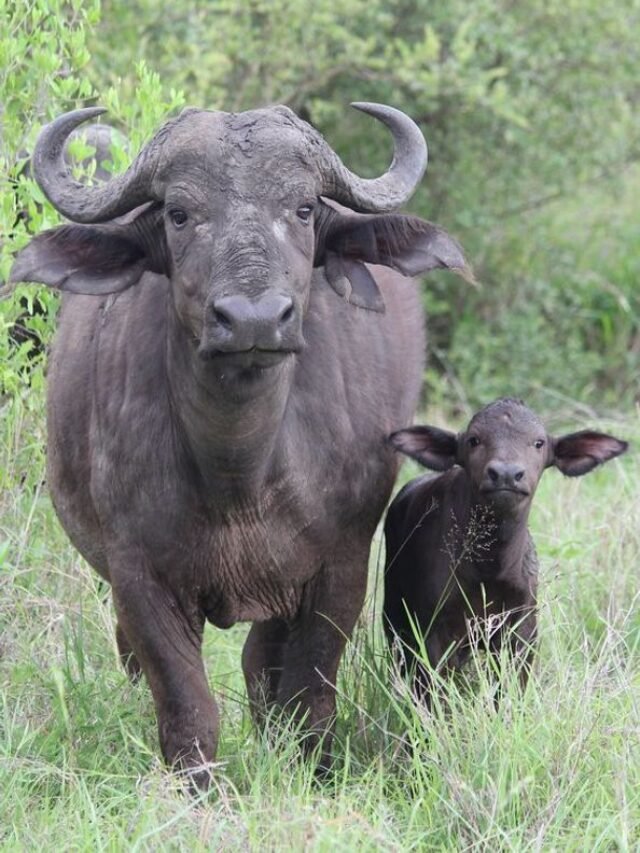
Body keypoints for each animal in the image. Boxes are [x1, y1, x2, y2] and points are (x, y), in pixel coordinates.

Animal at [12, 101, 468, 784]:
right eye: (179, 213)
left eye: (302, 208)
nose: (254, 320)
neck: (240, 473)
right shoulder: (138, 576)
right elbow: (186, 705)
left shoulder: (340, 567)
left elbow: (308, 694)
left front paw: (312, 772)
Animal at [382, 398, 628, 700]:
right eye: (474, 440)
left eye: (538, 442)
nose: (506, 475)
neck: (490, 566)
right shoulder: (433, 630)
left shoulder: (522, 630)